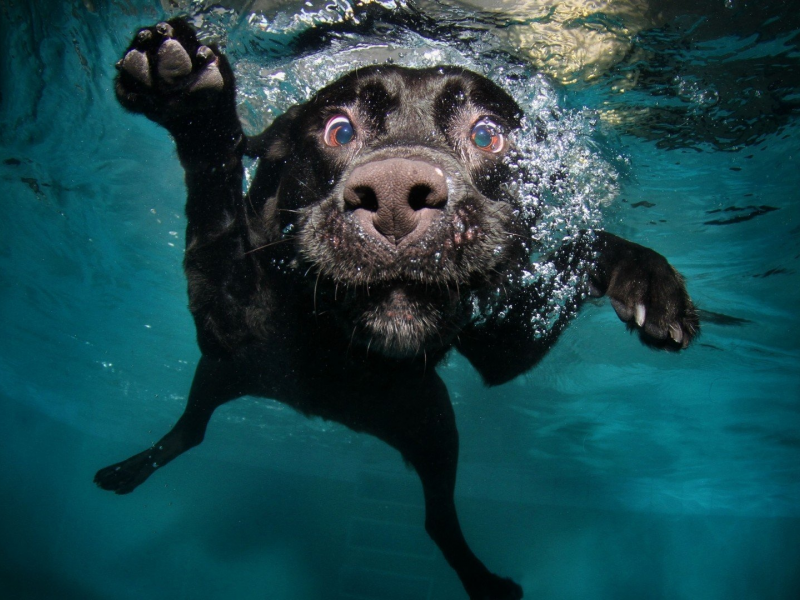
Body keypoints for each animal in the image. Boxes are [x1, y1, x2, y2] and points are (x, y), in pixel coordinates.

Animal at [92, 19, 692, 600]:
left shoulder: (503, 345)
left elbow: (582, 248)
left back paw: (484, 581)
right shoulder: (228, 324)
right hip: (222, 374)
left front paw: (647, 278)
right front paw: (192, 101)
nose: (395, 195)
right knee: (192, 430)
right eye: (339, 130)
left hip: (433, 426)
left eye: (487, 134)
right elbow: (215, 215)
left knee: (437, 520)